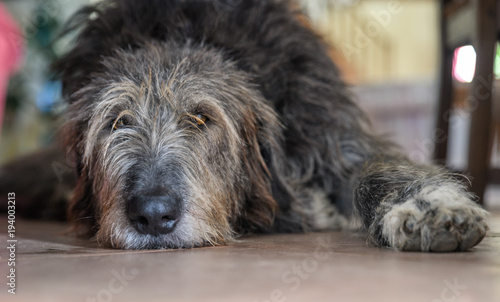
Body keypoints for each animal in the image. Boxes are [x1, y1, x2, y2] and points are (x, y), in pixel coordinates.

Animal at [0, 0, 488, 250]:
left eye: (202, 117)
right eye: (117, 121)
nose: (153, 215)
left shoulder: (326, 129)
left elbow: (373, 169)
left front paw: (429, 208)